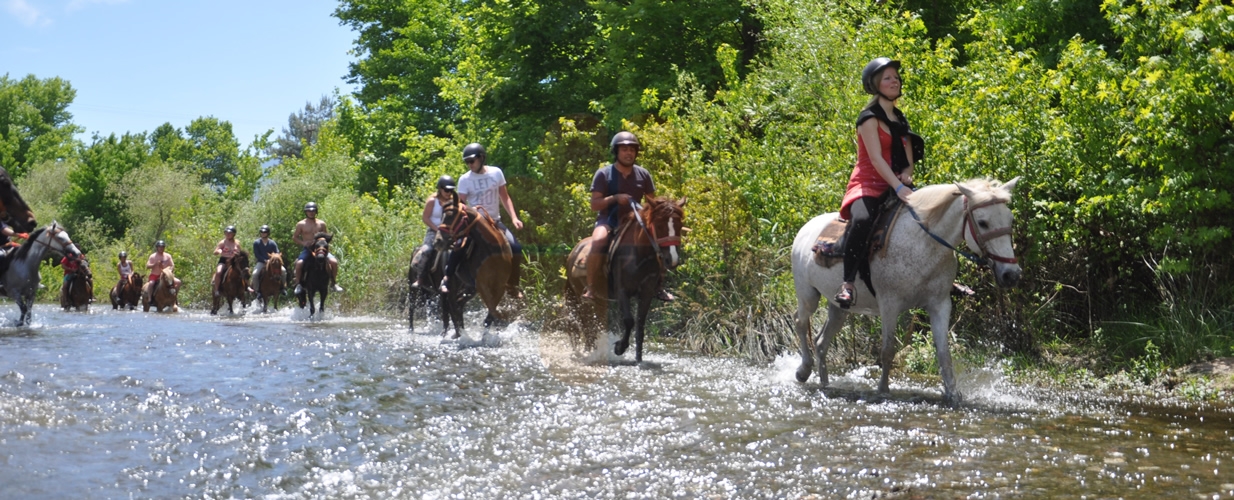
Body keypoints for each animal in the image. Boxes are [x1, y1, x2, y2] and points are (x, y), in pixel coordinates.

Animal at [436, 192, 513, 338]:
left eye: (450, 216)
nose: (438, 241)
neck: (492, 250)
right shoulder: (482, 285)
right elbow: (491, 307)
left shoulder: (499, 286)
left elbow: (492, 310)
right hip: (454, 283)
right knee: (452, 304)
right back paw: (458, 334)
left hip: (468, 286)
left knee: (458, 304)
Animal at [565, 196, 691, 360]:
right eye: (659, 225)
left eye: (679, 225)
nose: (673, 260)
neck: (639, 256)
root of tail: (573, 253)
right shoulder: (622, 291)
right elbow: (629, 321)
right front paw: (619, 347)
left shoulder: (646, 293)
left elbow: (640, 326)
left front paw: (639, 359)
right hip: (582, 298)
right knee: (588, 326)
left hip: (600, 299)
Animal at [789, 177, 1021, 402]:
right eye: (982, 222)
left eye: (1010, 219)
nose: (1011, 275)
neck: (924, 243)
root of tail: (805, 228)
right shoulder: (889, 304)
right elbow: (887, 351)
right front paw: (883, 391)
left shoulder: (940, 304)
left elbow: (943, 353)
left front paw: (953, 395)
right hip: (808, 295)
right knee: (800, 322)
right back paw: (803, 371)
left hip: (839, 307)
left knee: (821, 342)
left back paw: (825, 384)